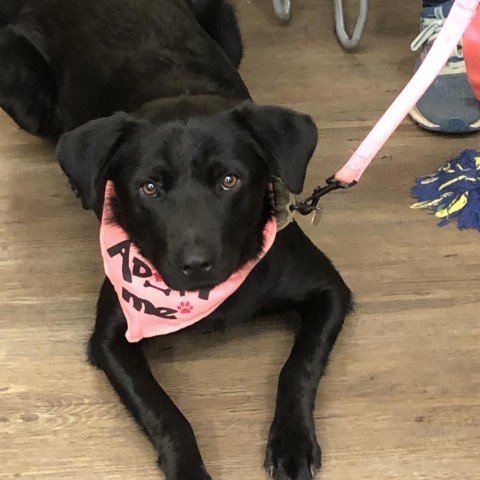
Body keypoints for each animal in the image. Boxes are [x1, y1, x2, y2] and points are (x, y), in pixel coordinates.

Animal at [0, 0, 352, 480]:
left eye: (229, 180)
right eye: (149, 188)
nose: (196, 264)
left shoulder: (329, 289)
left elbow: (298, 366)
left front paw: (292, 442)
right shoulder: (111, 339)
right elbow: (165, 412)